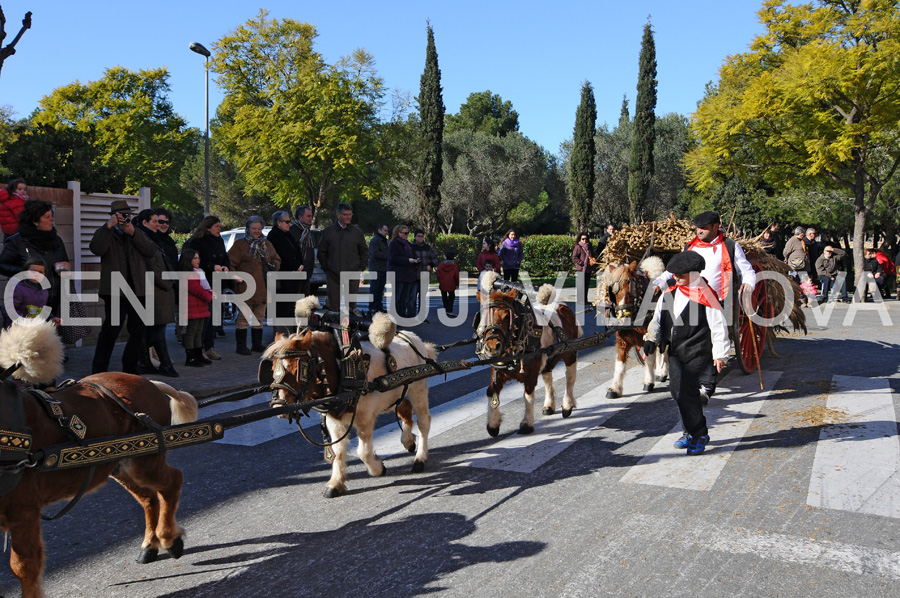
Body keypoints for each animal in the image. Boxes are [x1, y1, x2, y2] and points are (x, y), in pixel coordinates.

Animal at [0, 322, 197, 598]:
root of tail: (148, 382)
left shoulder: (23, 510)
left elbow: (23, 567)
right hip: (121, 465)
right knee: (149, 498)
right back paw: (150, 545)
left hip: (145, 461)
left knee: (171, 482)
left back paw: (169, 538)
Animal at [264, 298, 436, 500]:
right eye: (273, 367)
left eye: (299, 369)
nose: (278, 406)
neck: (342, 368)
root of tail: (415, 340)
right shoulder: (334, 420)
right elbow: (338, 451)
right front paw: (335, 484)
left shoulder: (365, 419)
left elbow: (363, 451)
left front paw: (377, 468)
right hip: (398, 393)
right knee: (406, 415)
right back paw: (408, 441)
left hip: (418, 390)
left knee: (423, 421)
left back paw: (420, 458)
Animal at [474, 272, 580, 436]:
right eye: (484, 315)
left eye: (507, 316)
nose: (492, 347)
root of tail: (564, 306)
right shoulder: (498, 372)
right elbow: (491, 392)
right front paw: (492, 424)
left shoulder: (531, 374)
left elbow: (528, 396)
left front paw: (526, 424)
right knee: (548, 377)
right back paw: (549, 406)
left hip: (569, 353)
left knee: (570, 375)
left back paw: (567, 404)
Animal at [596, 256, 668, 398]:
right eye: (613, 290)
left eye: (631, 286)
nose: (623, 316)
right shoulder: (623, 340)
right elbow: (619, 363)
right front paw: (615, 388)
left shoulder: (648, 336)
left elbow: (649, 359)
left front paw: (648, 381)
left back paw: (661, 372)